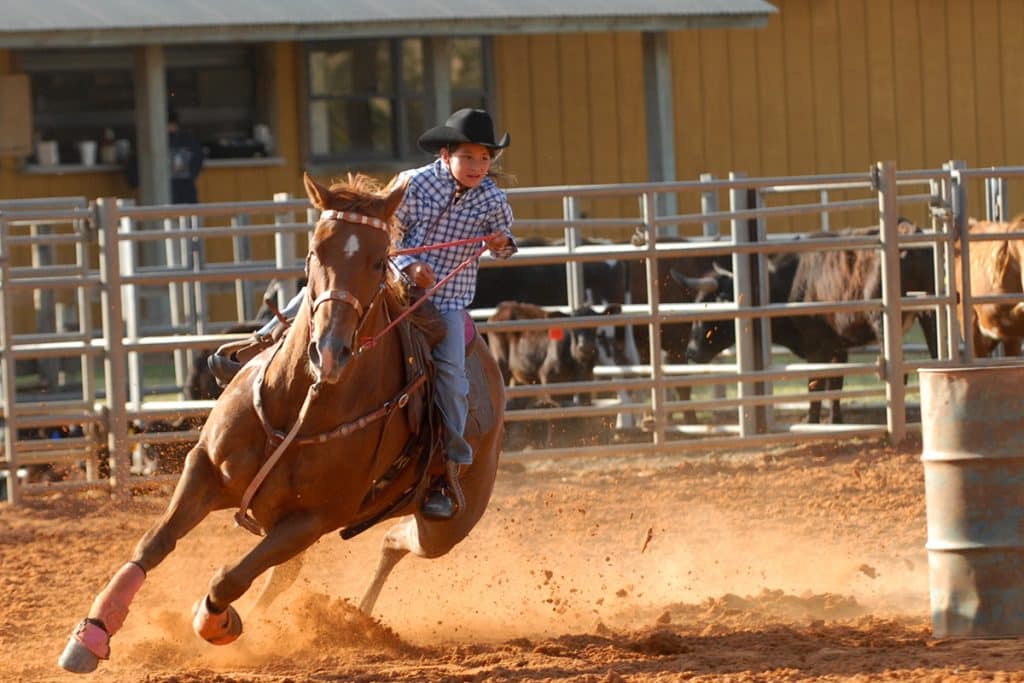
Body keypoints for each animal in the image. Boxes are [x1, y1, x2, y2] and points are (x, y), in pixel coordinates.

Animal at [58, 174, 505, 675]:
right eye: (314, 251)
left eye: (377, 261)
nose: (328, 352)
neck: (301, 405)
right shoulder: (204, 469)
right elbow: (153, 544)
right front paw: (91, 635)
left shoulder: (313, 519)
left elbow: (228, 579)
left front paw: (217, 623)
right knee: (303, 569)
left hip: (445, 526)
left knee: (391, 541)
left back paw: (353, 616)